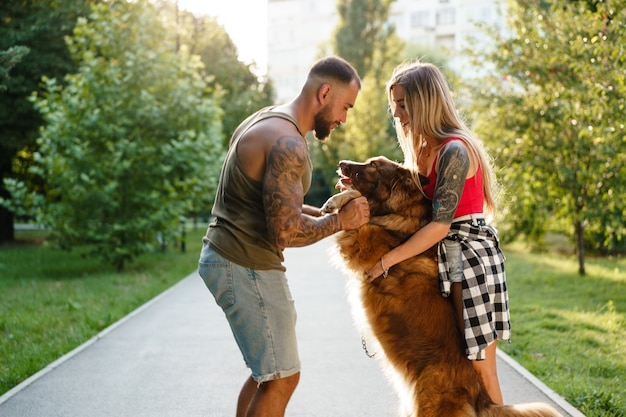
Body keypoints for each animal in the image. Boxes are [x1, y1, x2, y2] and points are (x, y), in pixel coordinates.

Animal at [322, 155, 560, 416]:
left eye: (374, 165)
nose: (342, 163)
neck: (404, 214)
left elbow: (360, 203)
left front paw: (334, 201)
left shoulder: (362, 243)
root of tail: (478, 391)